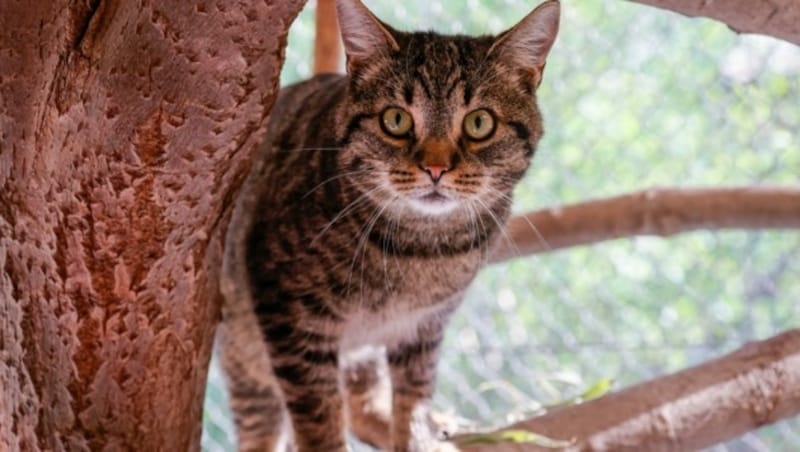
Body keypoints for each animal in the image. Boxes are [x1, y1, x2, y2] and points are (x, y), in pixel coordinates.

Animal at [216, 0, 560, 450]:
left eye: (479, 123)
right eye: (395, 120)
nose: (435, 168)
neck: (421, 250)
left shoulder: (422, 329)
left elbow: (411, 401)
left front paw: (417, 436)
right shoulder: (290, 315)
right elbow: (318, 416)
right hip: (245, 350)